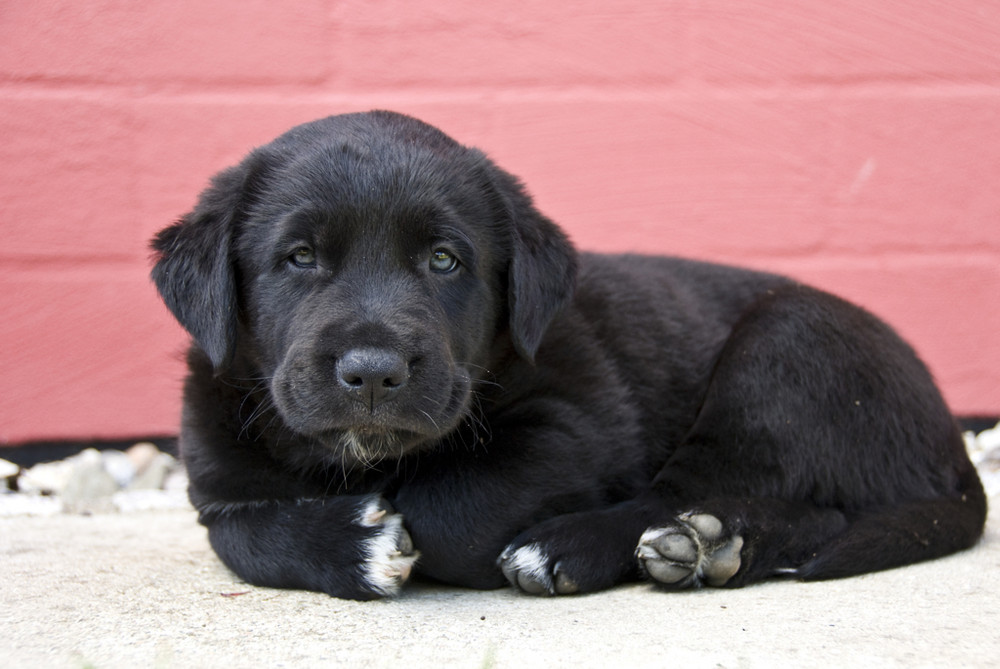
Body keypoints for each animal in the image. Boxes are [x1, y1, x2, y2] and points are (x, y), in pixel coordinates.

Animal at [154, 109, 984, 600]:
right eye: (298, 257)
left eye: (445, 260)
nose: (373, 372)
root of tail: (951, 440)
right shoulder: (215, 479)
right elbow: (243, 535)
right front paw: (355, 543)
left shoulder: (575, 430)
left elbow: (456, 509)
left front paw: (405, 534)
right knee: (817, 510)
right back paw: (719, 543)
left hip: (785, 349)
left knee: (704, 490)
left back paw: (633, 543)